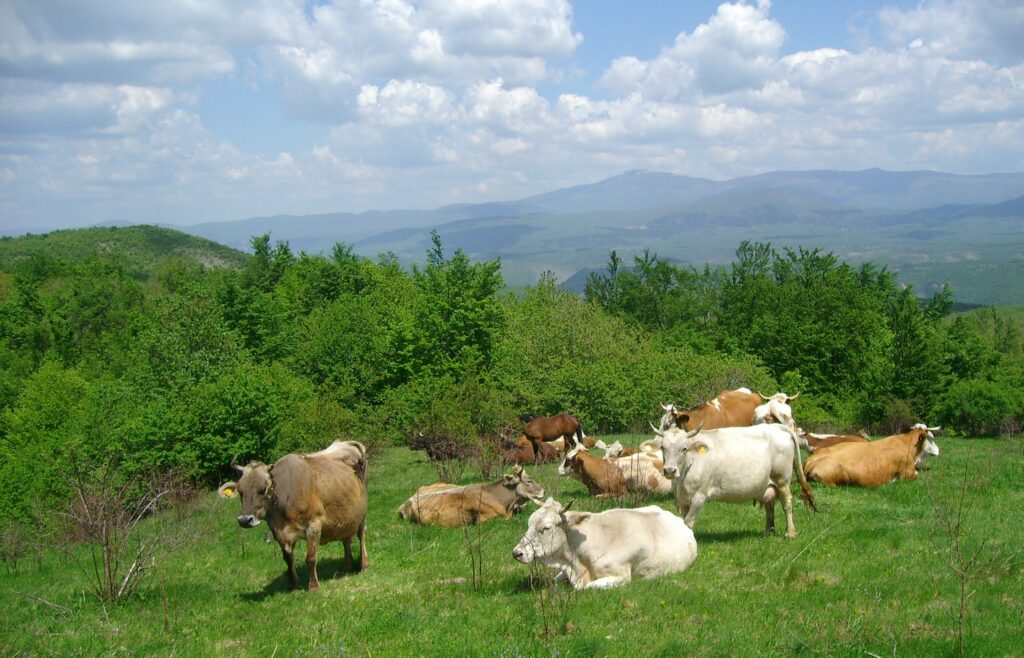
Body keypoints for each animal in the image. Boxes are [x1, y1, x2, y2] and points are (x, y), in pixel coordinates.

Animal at [218, 440, 368, 591]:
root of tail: (344, 442)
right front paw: (293, 584)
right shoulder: (277, 531)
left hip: (362, 514)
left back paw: (363, 565)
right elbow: (288, 558)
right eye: (240, 491)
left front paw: (314, 587)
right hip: (346, 514)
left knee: (361, 536)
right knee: (346, 538)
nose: (244, 520)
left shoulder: (314, 524)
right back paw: (348, 566)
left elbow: (311, 558)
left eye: (263, 490)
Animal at [512, 498, 698, 589]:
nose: (516, 552)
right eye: (529, 523)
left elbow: (588, 587)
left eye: (546, 528)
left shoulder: (622, 576)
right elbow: (556, 580)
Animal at [656, 423, 816, 537]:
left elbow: (689, 522)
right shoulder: (682, 500)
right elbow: (683, 522)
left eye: (684, 448)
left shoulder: (699, 497)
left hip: (782, 480)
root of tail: (776, 426)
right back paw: (768, 532)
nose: (669, 470)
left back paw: (790, 533)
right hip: (767, 484)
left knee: (787, 503)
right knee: (769, 505)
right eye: (662, 447)